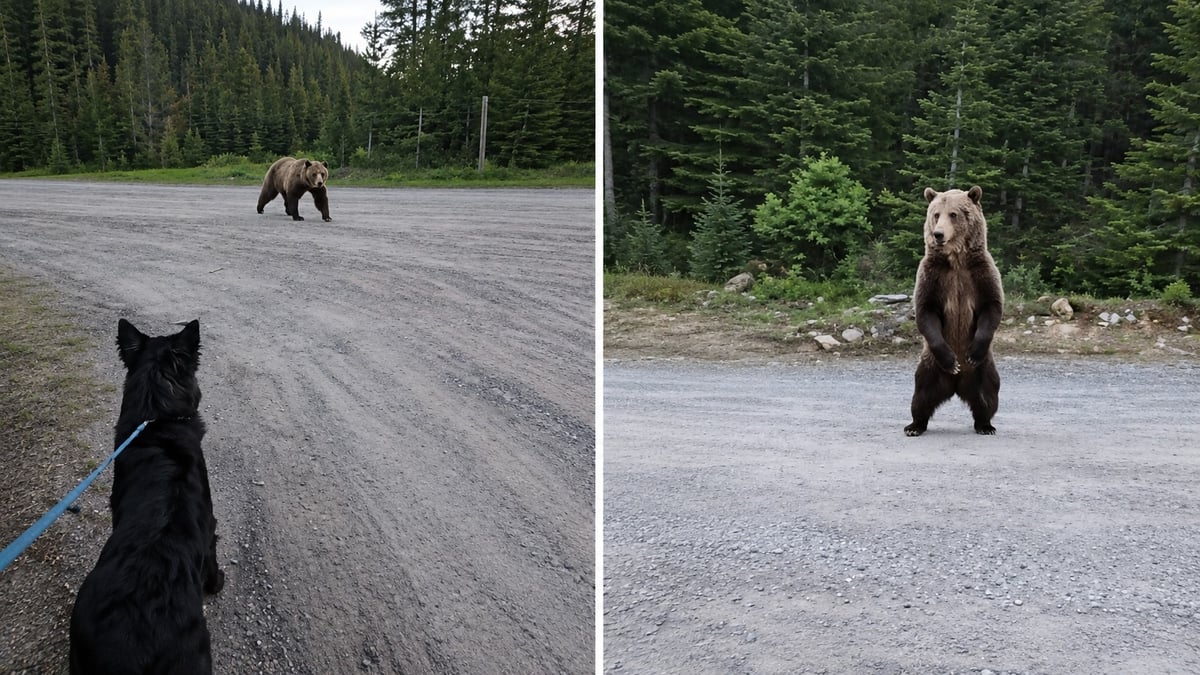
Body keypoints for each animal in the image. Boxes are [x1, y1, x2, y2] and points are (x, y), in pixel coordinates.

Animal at [904, 185, 1004, 437]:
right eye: (936, 214)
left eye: (954, 214)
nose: (938, 234)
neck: (957, 260)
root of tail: (957, 384)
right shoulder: (933, 275)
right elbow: (925, 311)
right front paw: (952, 360)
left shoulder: (980, 273)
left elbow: (992, 306)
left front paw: (972, 353)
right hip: (929, 365)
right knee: (921, 394)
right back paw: (914, 425)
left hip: (984, 368)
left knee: (988, 394)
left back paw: (985, 425)